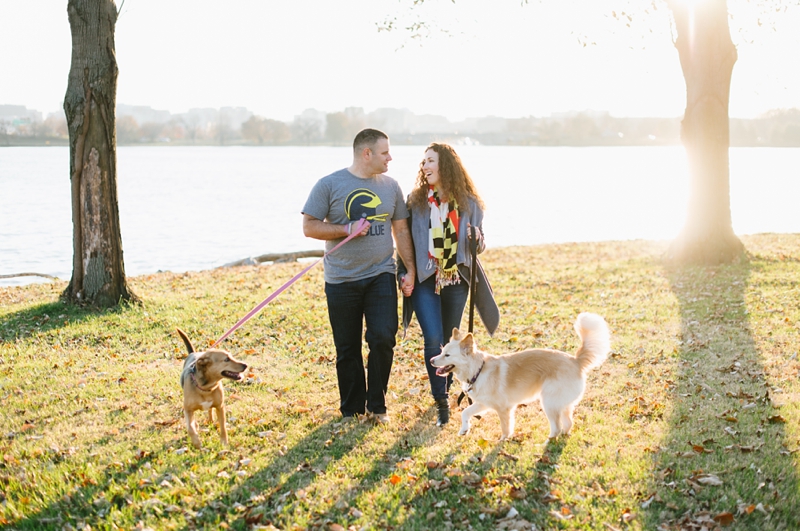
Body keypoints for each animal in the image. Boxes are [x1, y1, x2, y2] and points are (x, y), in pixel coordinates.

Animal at [434, 312, 608, 440]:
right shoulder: (483, 403)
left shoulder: (503, 408)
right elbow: (465, 412)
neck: (478, 370)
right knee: (568, 424)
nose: (431, 360)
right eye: (442, 352)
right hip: (561, 404)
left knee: (557, 427)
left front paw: (503, 441)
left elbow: (505, 428)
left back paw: (548, 442)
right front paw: (464, 429)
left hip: (549, 402)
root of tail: (575, 361)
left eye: (447, 355)